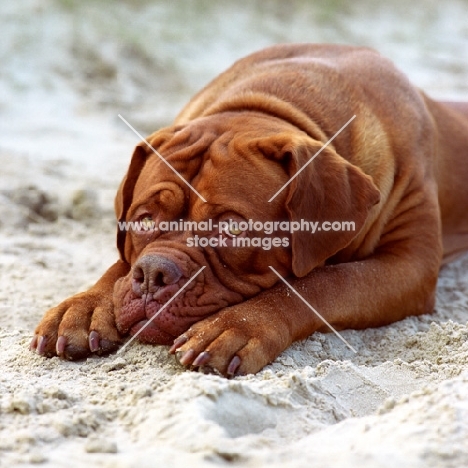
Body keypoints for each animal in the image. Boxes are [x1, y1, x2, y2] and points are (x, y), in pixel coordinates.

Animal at [30, 44, 468, 376]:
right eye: (144, 219)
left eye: (233, 229)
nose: (154, 274)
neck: (276, 105)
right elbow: (117, 268)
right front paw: (84, 306)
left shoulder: (408, 265)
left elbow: (324, 282)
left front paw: (236, 326)